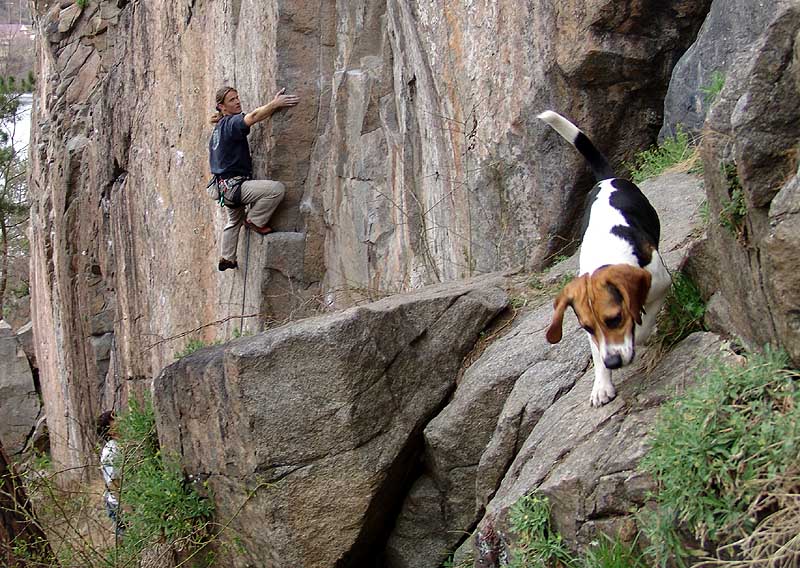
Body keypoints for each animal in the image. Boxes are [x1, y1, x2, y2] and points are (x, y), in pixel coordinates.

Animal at [536, 110, 668, 404]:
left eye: (614, 319)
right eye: (586, 327)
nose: (613, 363)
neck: (607, 255)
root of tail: (606, 180)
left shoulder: (660, 284)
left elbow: (643, 323)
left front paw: (641, 333)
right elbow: (596, 352)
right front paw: (602, 384)